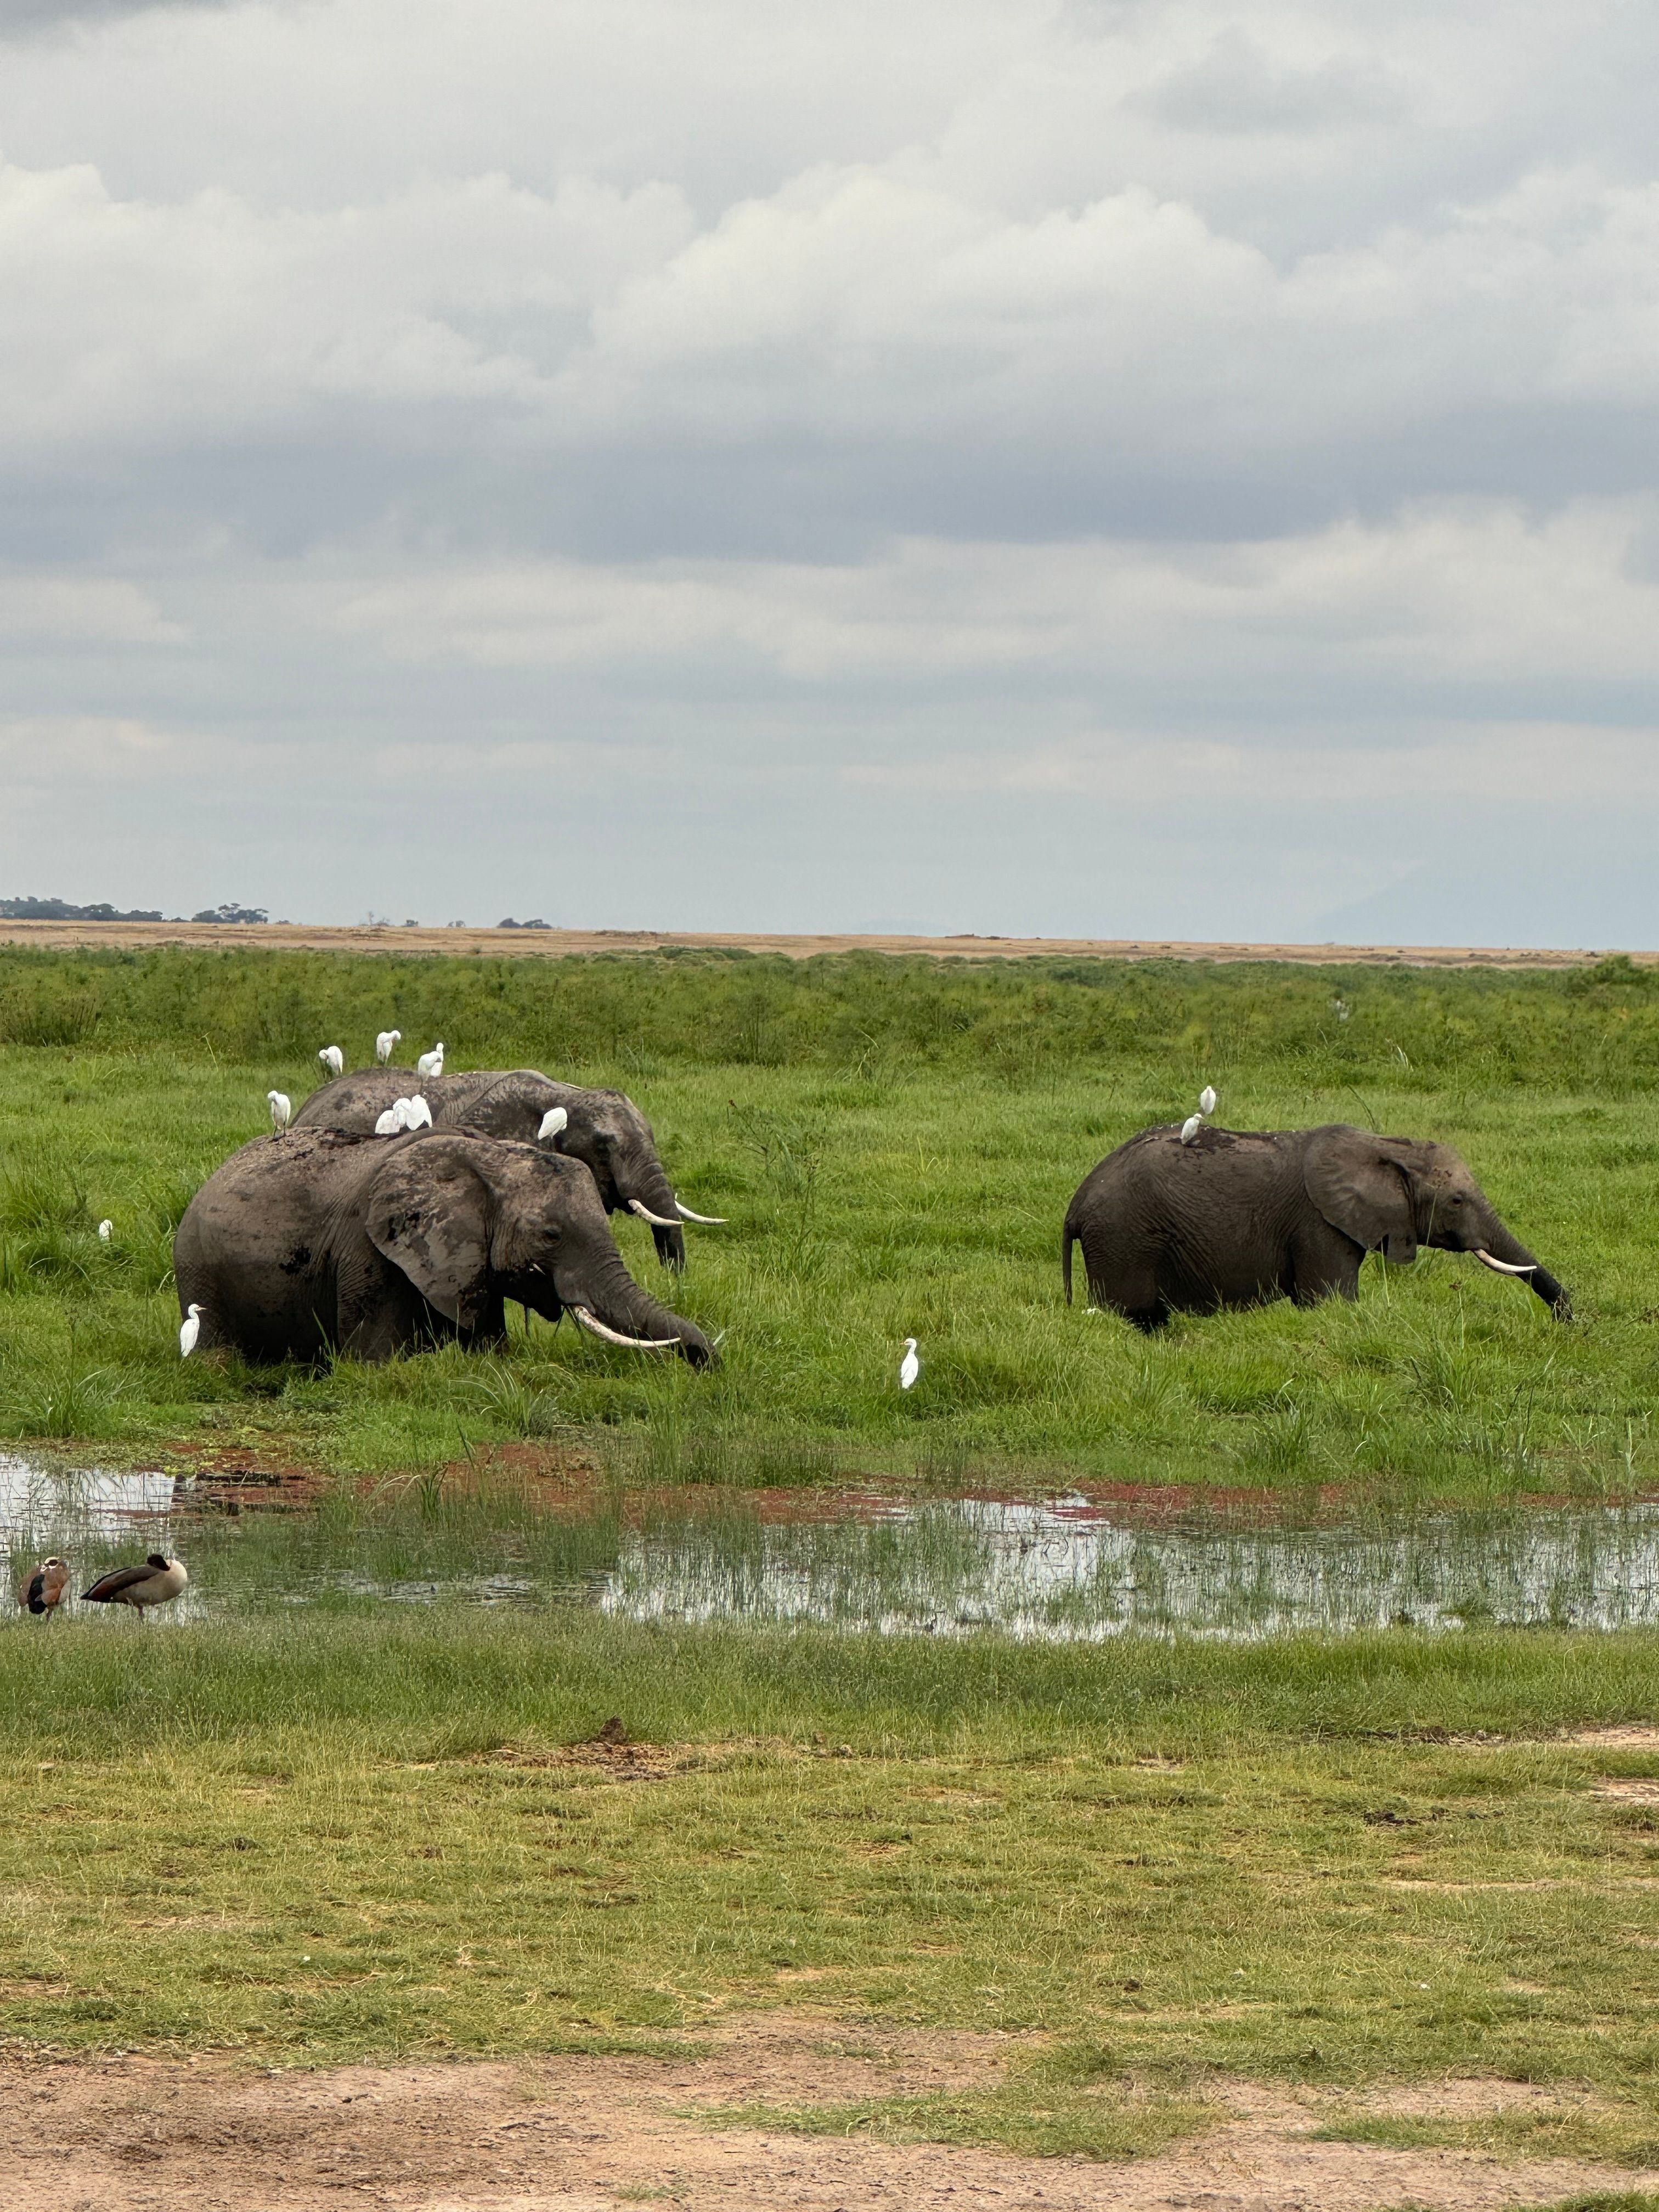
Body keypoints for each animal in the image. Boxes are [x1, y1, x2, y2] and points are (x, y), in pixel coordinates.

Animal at [174, 1126, 715, 1365]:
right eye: (551, 1236)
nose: (707, 1362)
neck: (486, 1158)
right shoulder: (369, 1255)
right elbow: (375, 1364)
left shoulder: (471, 1266)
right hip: (199, 1268)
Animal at [1062, 1122, 1570, 1331]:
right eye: (1457, 1200)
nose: (1566, 1322)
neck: (1385, 1145)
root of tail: (1075, 1207)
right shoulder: (1318, 1225)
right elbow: (1330, 1300)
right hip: (1124, 1239)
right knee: (1132, 1313)